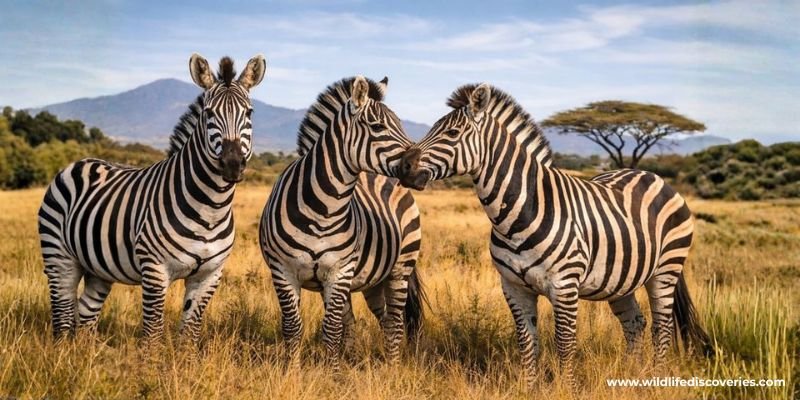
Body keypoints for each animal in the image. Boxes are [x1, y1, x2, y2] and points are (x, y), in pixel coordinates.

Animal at [37, 53, 266, 343]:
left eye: (249, 113)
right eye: (208, 113)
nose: (232, 165)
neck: (211, 209)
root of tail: (79, 162)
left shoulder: (209, 275)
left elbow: (189, 335)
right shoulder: (155, 270)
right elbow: (153, 335)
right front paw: (151, 355)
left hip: (98, 268)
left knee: (85, 312)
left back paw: (83, 351)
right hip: (58, 255)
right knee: (63, 314)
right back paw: (64, 351)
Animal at [259, 76, 424, 368]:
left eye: (401, 125)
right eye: (377, 126)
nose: (422, 172)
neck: (322, 211)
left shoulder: (339, 271)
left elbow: (332, 329)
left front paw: (332, 372)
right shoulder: (282, 270)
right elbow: (293, 327)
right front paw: (293, 371)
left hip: (400, 267)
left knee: (394, 323)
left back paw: (392, 368)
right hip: (372, 279)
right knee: (378, 320)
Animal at [397, 83, 711, 388]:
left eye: (452, 133)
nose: (403, 166)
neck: (519, 212)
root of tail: (654, 176)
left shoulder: (564, 285)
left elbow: (564, 342)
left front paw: (567, 388)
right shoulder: (514, 286)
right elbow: (527, 341)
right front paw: (529, 389)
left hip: (666, 269)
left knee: (662, 326)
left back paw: (655, 379)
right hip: (622, 279)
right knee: (635, 322)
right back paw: (634, 375)